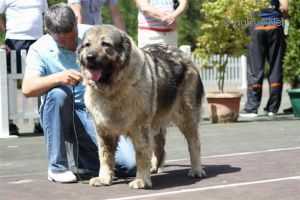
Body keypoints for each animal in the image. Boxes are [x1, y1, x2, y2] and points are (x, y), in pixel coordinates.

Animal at [77, 25, 205, 189]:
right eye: (87, 45)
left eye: (105, 44)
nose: (90, 57)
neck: (113, 90)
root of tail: (184, 55)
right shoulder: (104, 130)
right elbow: (105, 156)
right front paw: (104, 178)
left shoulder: (140, 128)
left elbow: (141, 154)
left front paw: (141, 180)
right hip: (157, 121)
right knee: (159, 147)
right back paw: (155, 168)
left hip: (186, 117)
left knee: (194, 144)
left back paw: (196, 170)